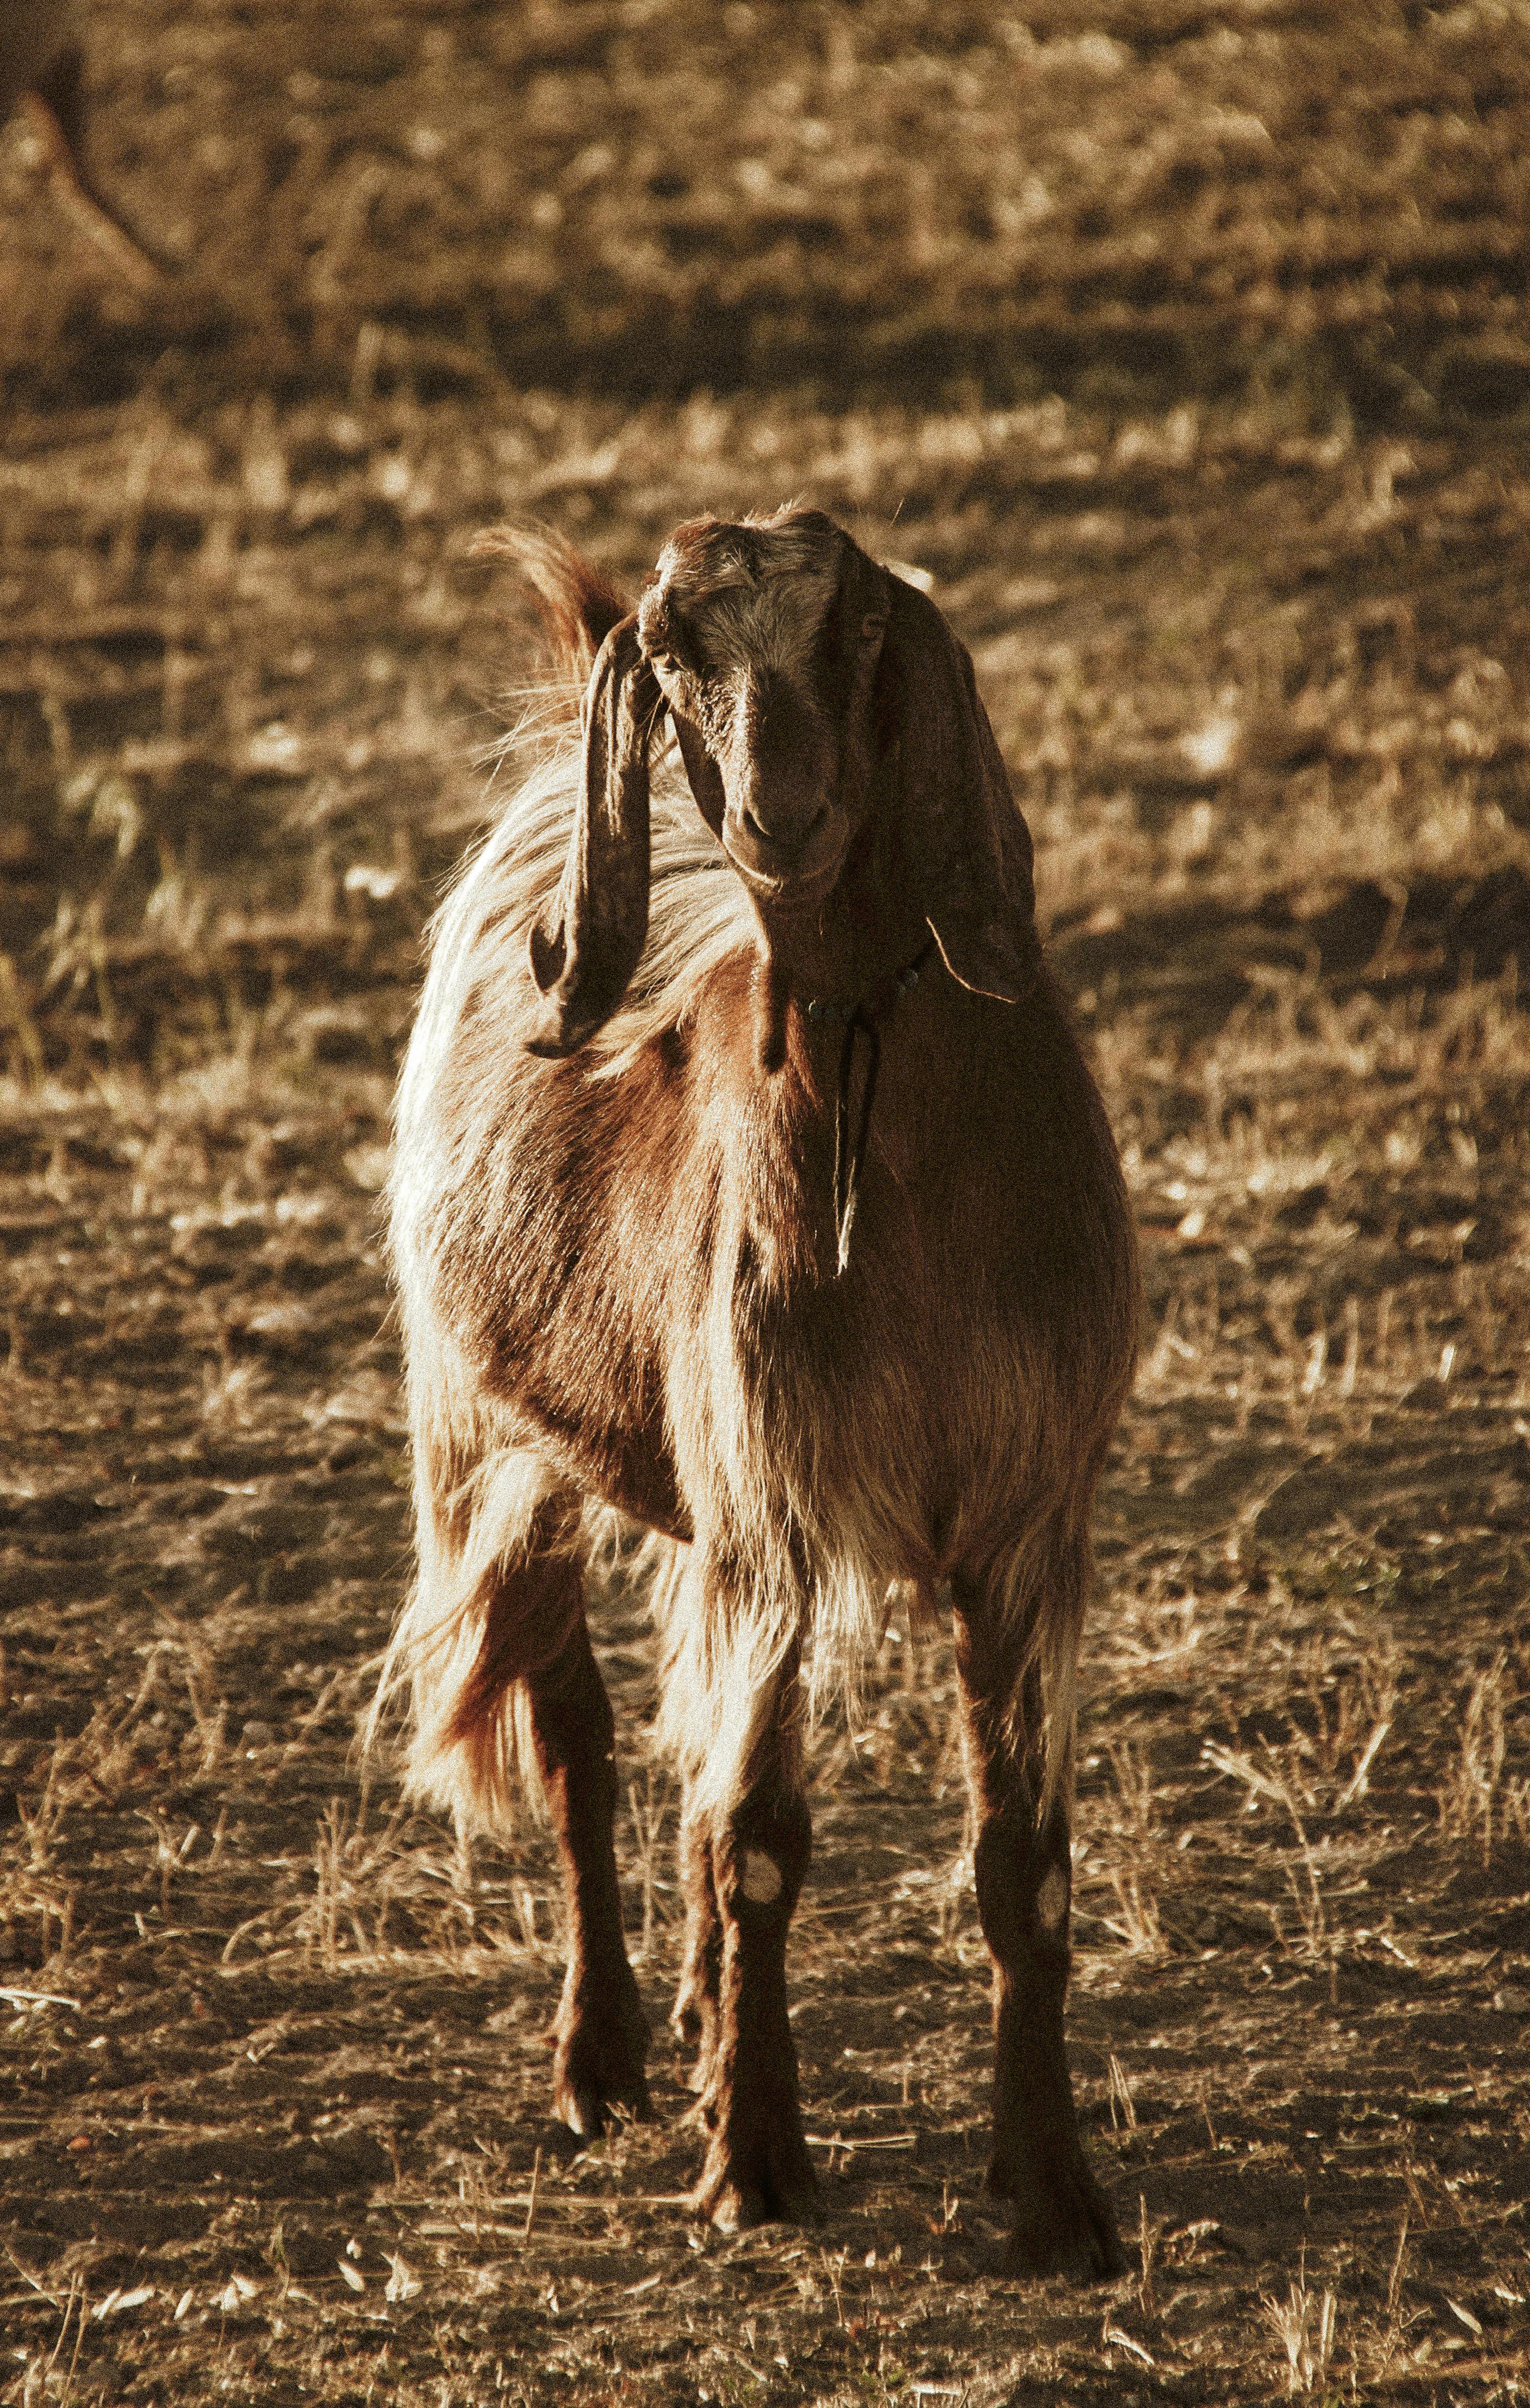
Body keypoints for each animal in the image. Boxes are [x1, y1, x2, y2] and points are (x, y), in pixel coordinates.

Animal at [385, 508, 1137, 2273]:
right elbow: (764, 1847)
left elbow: (1022, 1865)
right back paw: (600, 2062)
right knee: (586, 1745)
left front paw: (1053, 2191)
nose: (776, 816)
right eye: (670, 658)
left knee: (671, 1763)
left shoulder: (1026, 1520)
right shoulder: (772, 1515)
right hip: (496, 1439)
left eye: (857, 628)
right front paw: (758, 2161)